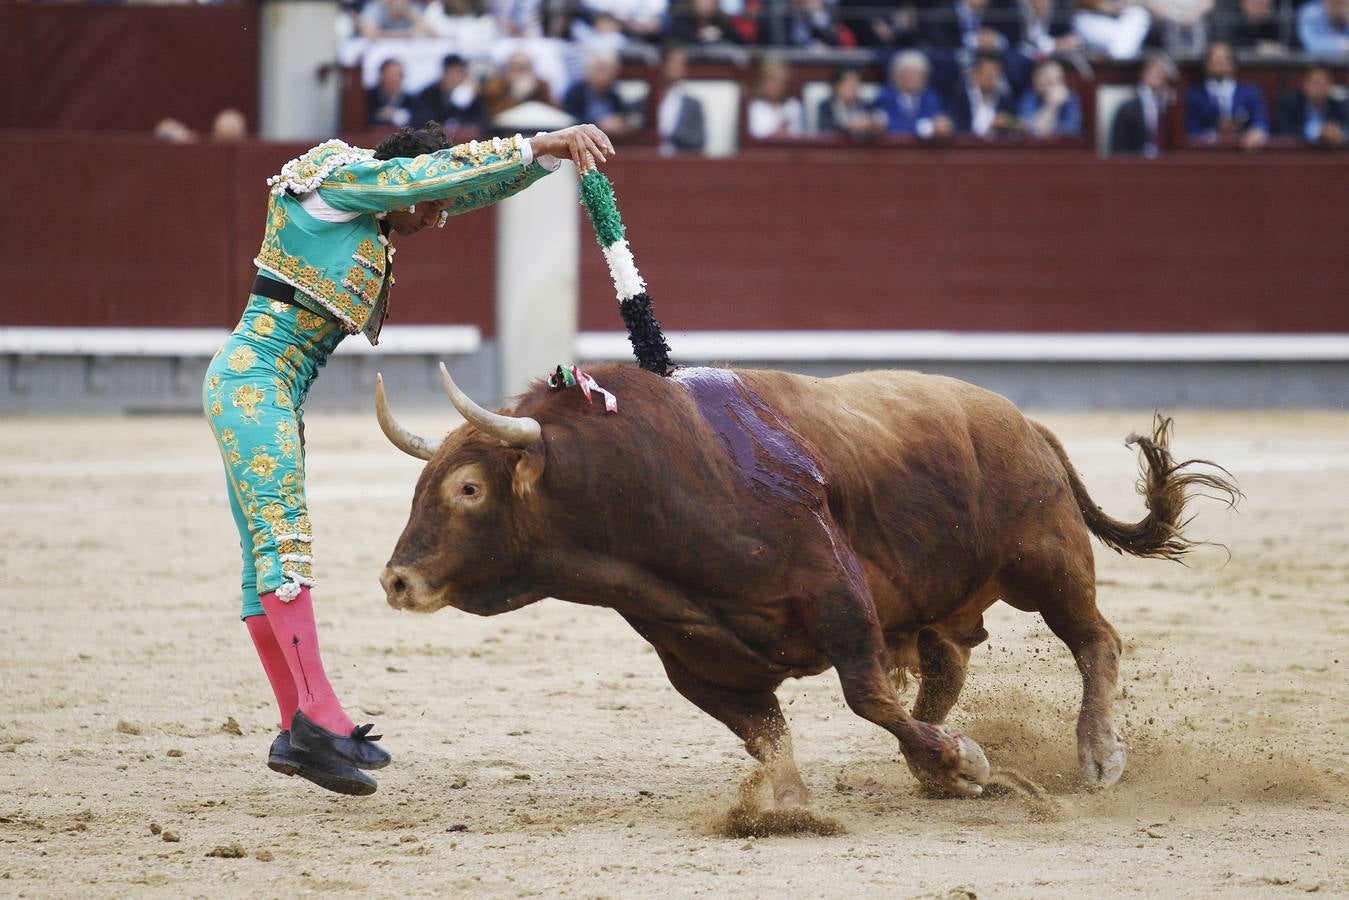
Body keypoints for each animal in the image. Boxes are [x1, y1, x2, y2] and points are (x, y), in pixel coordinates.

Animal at [372, 364, 1235, 804]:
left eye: (467, 489)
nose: (396, 580)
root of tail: (1025, 423)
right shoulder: (694, 659)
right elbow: (765, 735)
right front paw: (783, 805)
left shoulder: (837, 598)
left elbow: (866, 696)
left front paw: (964, 762)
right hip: (944, 598)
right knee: (951, 664)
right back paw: (932, 766)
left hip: (1046, 563)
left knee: (1094, 639)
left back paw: (1096, 756)